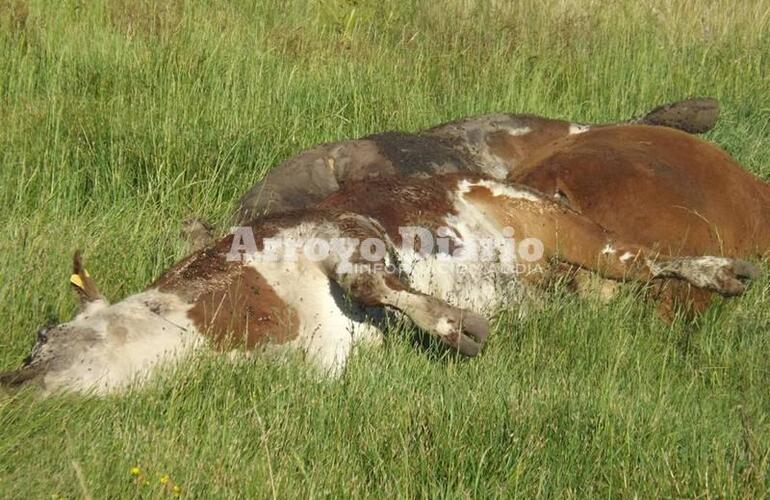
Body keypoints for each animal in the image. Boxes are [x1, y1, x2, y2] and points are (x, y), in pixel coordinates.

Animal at [0, 172, 756, 394]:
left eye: (39, 338)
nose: (13, 382)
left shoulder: (342, 229)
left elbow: (372, 284)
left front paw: (458, 325)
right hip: (567, 277)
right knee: (612, 290)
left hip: (563, 227)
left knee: (645, 258)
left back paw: (726, 272)